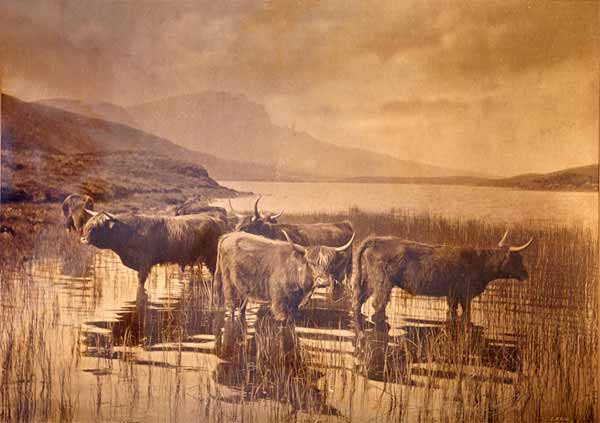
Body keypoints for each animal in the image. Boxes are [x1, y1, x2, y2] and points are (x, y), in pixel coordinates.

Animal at [81, 211, 226, 286]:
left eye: (97, 226)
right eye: (88, 224)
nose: (83, 239)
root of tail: (217, 221)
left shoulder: (144, 264)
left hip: (212, 258)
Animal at [213, 230, 356, 322]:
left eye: (330, 263)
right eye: (311, 263)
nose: (323, 281)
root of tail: (228, 235)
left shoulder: (294, 304)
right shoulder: (278, 303)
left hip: (243, 287)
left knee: (242, 307)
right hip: (228, 284)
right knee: (231, 305)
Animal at [352, 232, 536, 328]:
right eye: (518, 259)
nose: (526, 274)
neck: (481, 263)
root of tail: (377, 239)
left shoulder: (452, 294)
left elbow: (452, 311)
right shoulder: (465, 294)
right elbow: (465, 313)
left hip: (368, 280)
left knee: (359, 299)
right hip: (382, 283)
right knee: (378, 304)